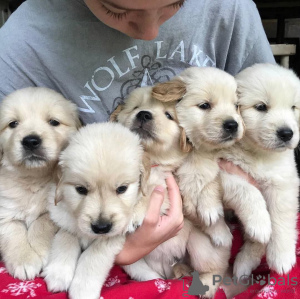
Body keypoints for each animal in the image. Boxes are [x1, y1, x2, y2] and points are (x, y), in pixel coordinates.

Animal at [0, 87, 81, 282]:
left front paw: (38, 251)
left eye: (54, 122)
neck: (33, 178)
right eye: (13, 124)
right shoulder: (4, 212)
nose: (30, 141)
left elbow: (41, 223)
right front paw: (24, 260)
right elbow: (13, 232)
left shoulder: (56, 209)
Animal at [112, 86, 230, 298]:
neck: (151, 160)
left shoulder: (171, 185)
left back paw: (206, 286)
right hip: (132, 261)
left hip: (199, 245)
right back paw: (159, 283)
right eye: (136, 107)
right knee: (147, 275)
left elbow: (151, 192)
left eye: (168, 115)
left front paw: (135, 213)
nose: (144, 114)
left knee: (215, 269)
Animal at [221, 63, 300, 278]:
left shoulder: (283, 183)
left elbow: (281, 218)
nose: (287, 133)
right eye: (261, 107)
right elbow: (247, 190)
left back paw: (245, 262)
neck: (259, 154)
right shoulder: (219, 170)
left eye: (293, 107)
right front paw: (261, 223)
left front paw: (281, 257)